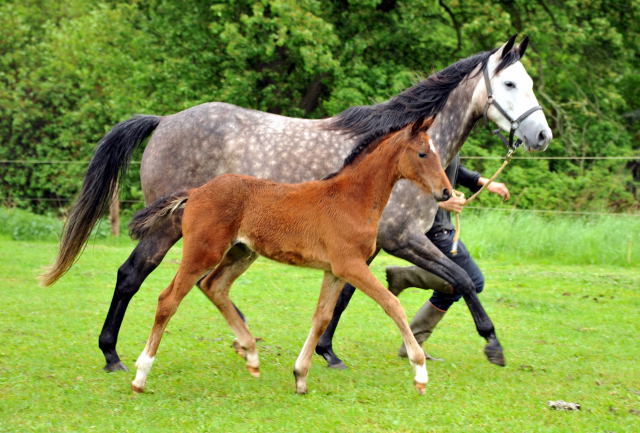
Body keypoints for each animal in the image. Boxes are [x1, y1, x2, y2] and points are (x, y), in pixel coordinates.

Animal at [129, 116, 450, 394]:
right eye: (423, 153)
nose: (446, 192)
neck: (351, 199)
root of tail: (196, 191)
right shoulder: (350, 265)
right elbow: (392, 304)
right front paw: (420, 373)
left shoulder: (334, 270)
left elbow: (321, 317)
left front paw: (300, 376)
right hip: (203, 251)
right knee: (169, 299)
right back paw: (141, 375)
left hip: (241, 253)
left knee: (213, 286)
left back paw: (252, 355)